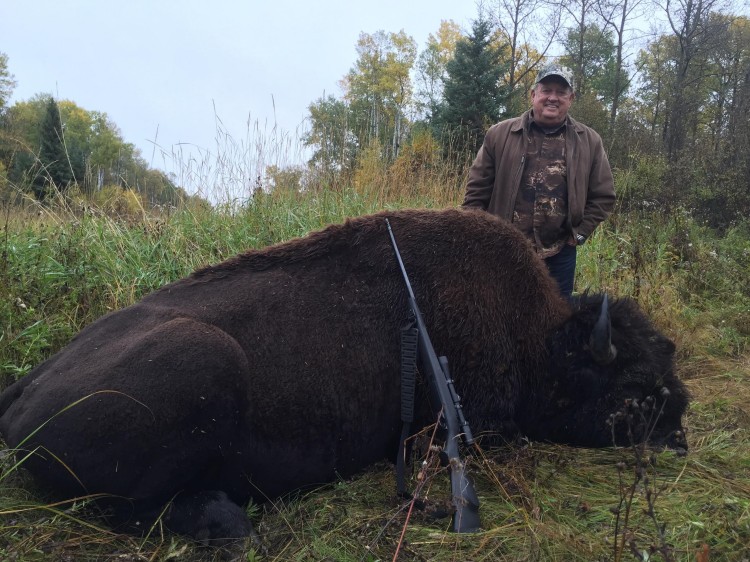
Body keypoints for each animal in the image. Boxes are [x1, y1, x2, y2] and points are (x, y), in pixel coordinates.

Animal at [0, 208, 689, 548]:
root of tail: (24, 386)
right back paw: (229, 524)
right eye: (633, 387)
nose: (679, 431)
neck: (541, 341)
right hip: (204, 357)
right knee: (128, 508)